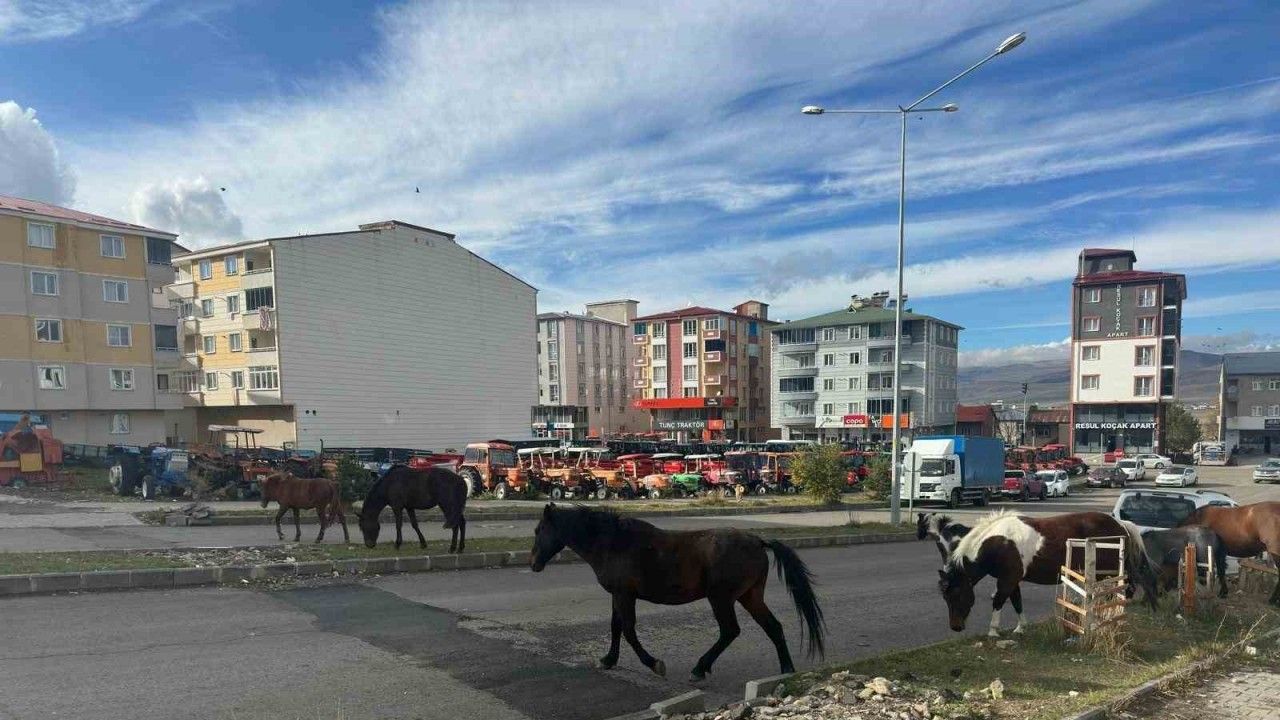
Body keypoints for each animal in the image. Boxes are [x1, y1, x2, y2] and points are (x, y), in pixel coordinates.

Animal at [530, 504, 825, 681]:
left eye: (539, 529)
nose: (533, 564)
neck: (615, 542)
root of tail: (758, 541)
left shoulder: (625, 595)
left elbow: (628, 630)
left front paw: (654, 664)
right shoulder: (618, 595)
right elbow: (616, 627)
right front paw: (609, 660)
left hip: (721, 599)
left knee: (730, 631)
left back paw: (699, 669)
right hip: (749, 596)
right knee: (772, 627)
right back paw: (786, 670)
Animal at [937, 510, 1157, 636]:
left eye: (957, 594)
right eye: (945, 598)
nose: (955, 627)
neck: (1001, 542)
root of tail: (1121, 524)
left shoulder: (1007, 580)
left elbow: (999, 601)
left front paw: (993, 630)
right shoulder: (1012, 580)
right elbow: (1016, 601)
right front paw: (1021, 627)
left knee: (1122, 591)